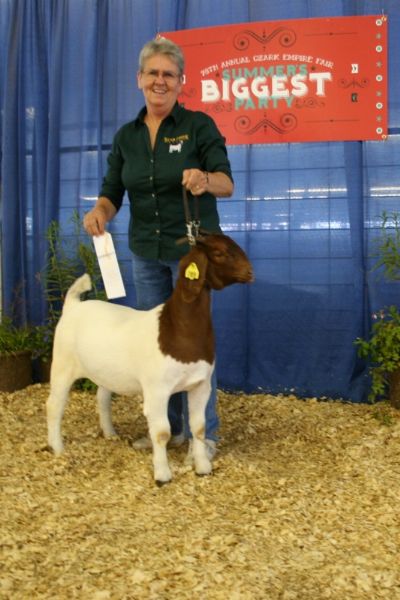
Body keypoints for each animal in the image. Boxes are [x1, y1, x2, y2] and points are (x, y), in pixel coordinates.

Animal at [47, 232, 253, 486]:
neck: (177, 329)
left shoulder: (200, 385)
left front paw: (203, 467)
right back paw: (57, 447)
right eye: (219, 252)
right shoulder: (157, 390)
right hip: (62, 364)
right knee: (54, 405)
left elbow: (199, 427)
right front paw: (162, 474)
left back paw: (110, 434)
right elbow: (162, 432)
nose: (250, 272)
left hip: (105, 372)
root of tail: (73, 305)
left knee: (102, 397)